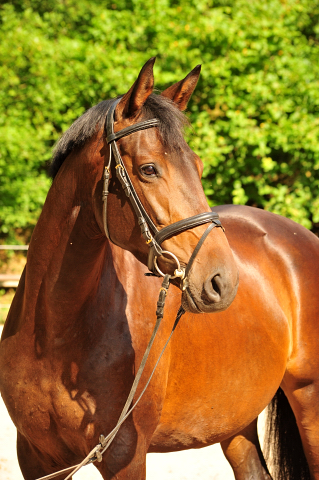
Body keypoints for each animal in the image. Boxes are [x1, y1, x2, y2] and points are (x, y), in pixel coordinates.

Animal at [0, 57, 319, 480]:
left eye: (199, 166)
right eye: (149, 169)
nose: (223, 281)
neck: (55, 333)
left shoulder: (126, 456)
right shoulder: (37, 459)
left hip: (310, 401)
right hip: (235, 423)